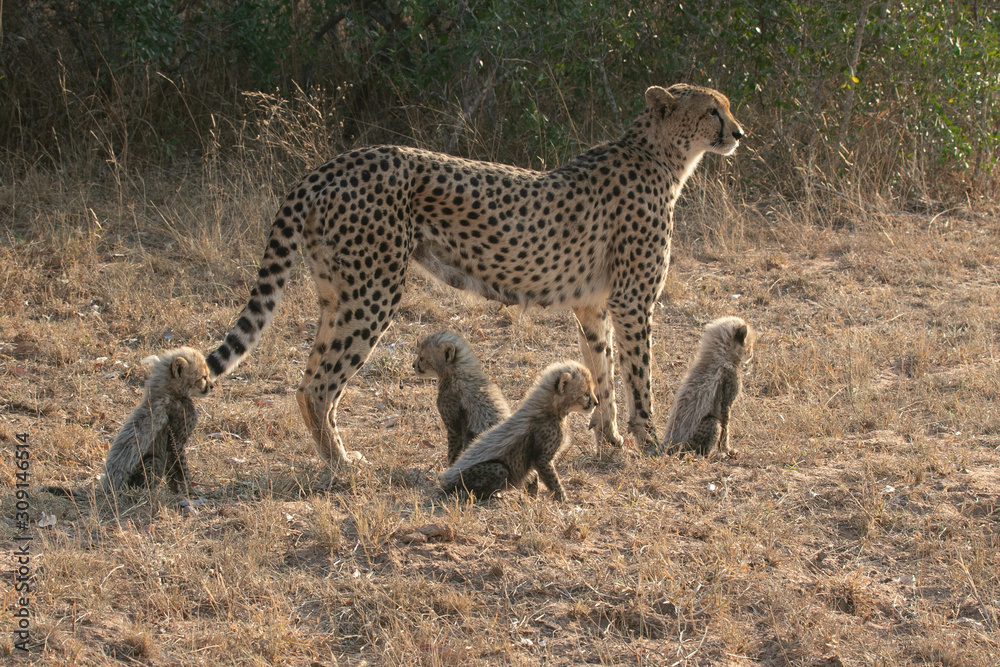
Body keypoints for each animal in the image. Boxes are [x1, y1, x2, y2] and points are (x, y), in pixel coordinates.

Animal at [204, 83, 743, 468]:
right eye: (712, 110)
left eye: (726, 107)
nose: (739, 133)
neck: (662, 156)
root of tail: (332, 163)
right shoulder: (633, 302)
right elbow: (639, 376)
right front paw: (649, 441)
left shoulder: (595, 306)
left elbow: (604, 373)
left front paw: (610, 440)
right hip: (373, 291)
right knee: (317, 385)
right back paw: (341, 466)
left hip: (338, 293)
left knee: (312, 380)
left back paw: (335, 454)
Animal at [438, 360, 597, 501]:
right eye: (586, 393)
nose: (596, 403)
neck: (550, 410)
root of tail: (445, 479)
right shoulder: (542, 459)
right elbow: (553, 481)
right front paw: (564, 502)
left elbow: (533, 478)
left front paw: (532, 500)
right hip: (496, 470)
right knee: (469, 490)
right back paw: (492, 497)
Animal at [657, 316, 754, 457]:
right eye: (749, 345)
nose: (752, 354)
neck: (719, 357)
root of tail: (669, 444)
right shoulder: (726, 402)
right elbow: (726, 427)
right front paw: (727, 450)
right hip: (708, 426)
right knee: (704, 449)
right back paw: (714, 455)